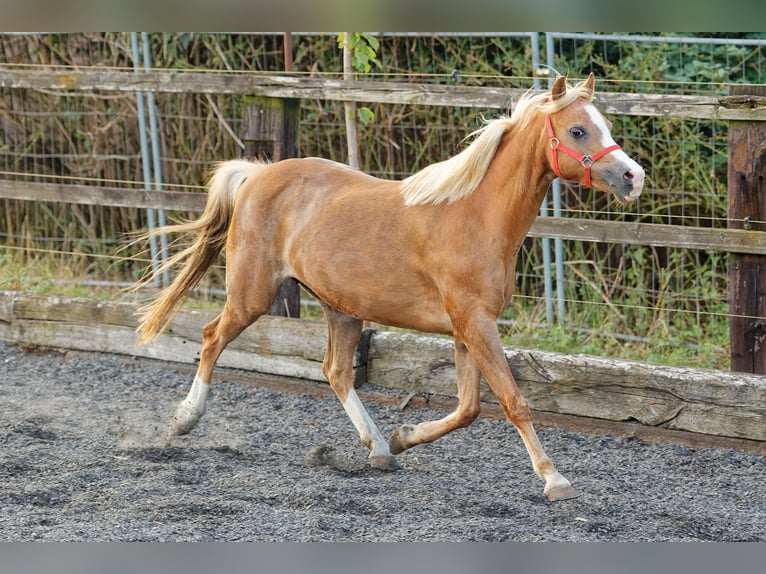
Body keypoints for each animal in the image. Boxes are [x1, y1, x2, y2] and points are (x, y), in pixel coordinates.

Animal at [136, 74, 640, 502]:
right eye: (578, 130)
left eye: (605, 126)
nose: (633, 177)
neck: (475, 216)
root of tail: (256, 174)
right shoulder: (475, 324)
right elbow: (513, 402)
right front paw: (556, 480)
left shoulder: (467, 329)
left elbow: (469, 408)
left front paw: (403, 438)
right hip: (252, 294)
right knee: (211, 338)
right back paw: (184, 420)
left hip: (341, 308)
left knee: (336, 371)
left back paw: (378, 448)